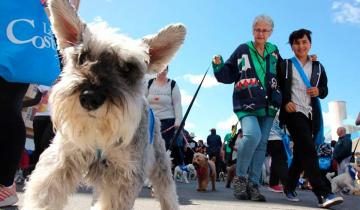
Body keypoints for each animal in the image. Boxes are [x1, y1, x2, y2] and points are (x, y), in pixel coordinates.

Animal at [22, 0, 186, 210]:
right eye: (82, 57)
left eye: (128, 68)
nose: (89, 98)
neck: (99, 134)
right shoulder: (63, 159)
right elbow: (44, 194)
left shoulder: (124, 177)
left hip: (160, 166)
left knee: (168, 192)